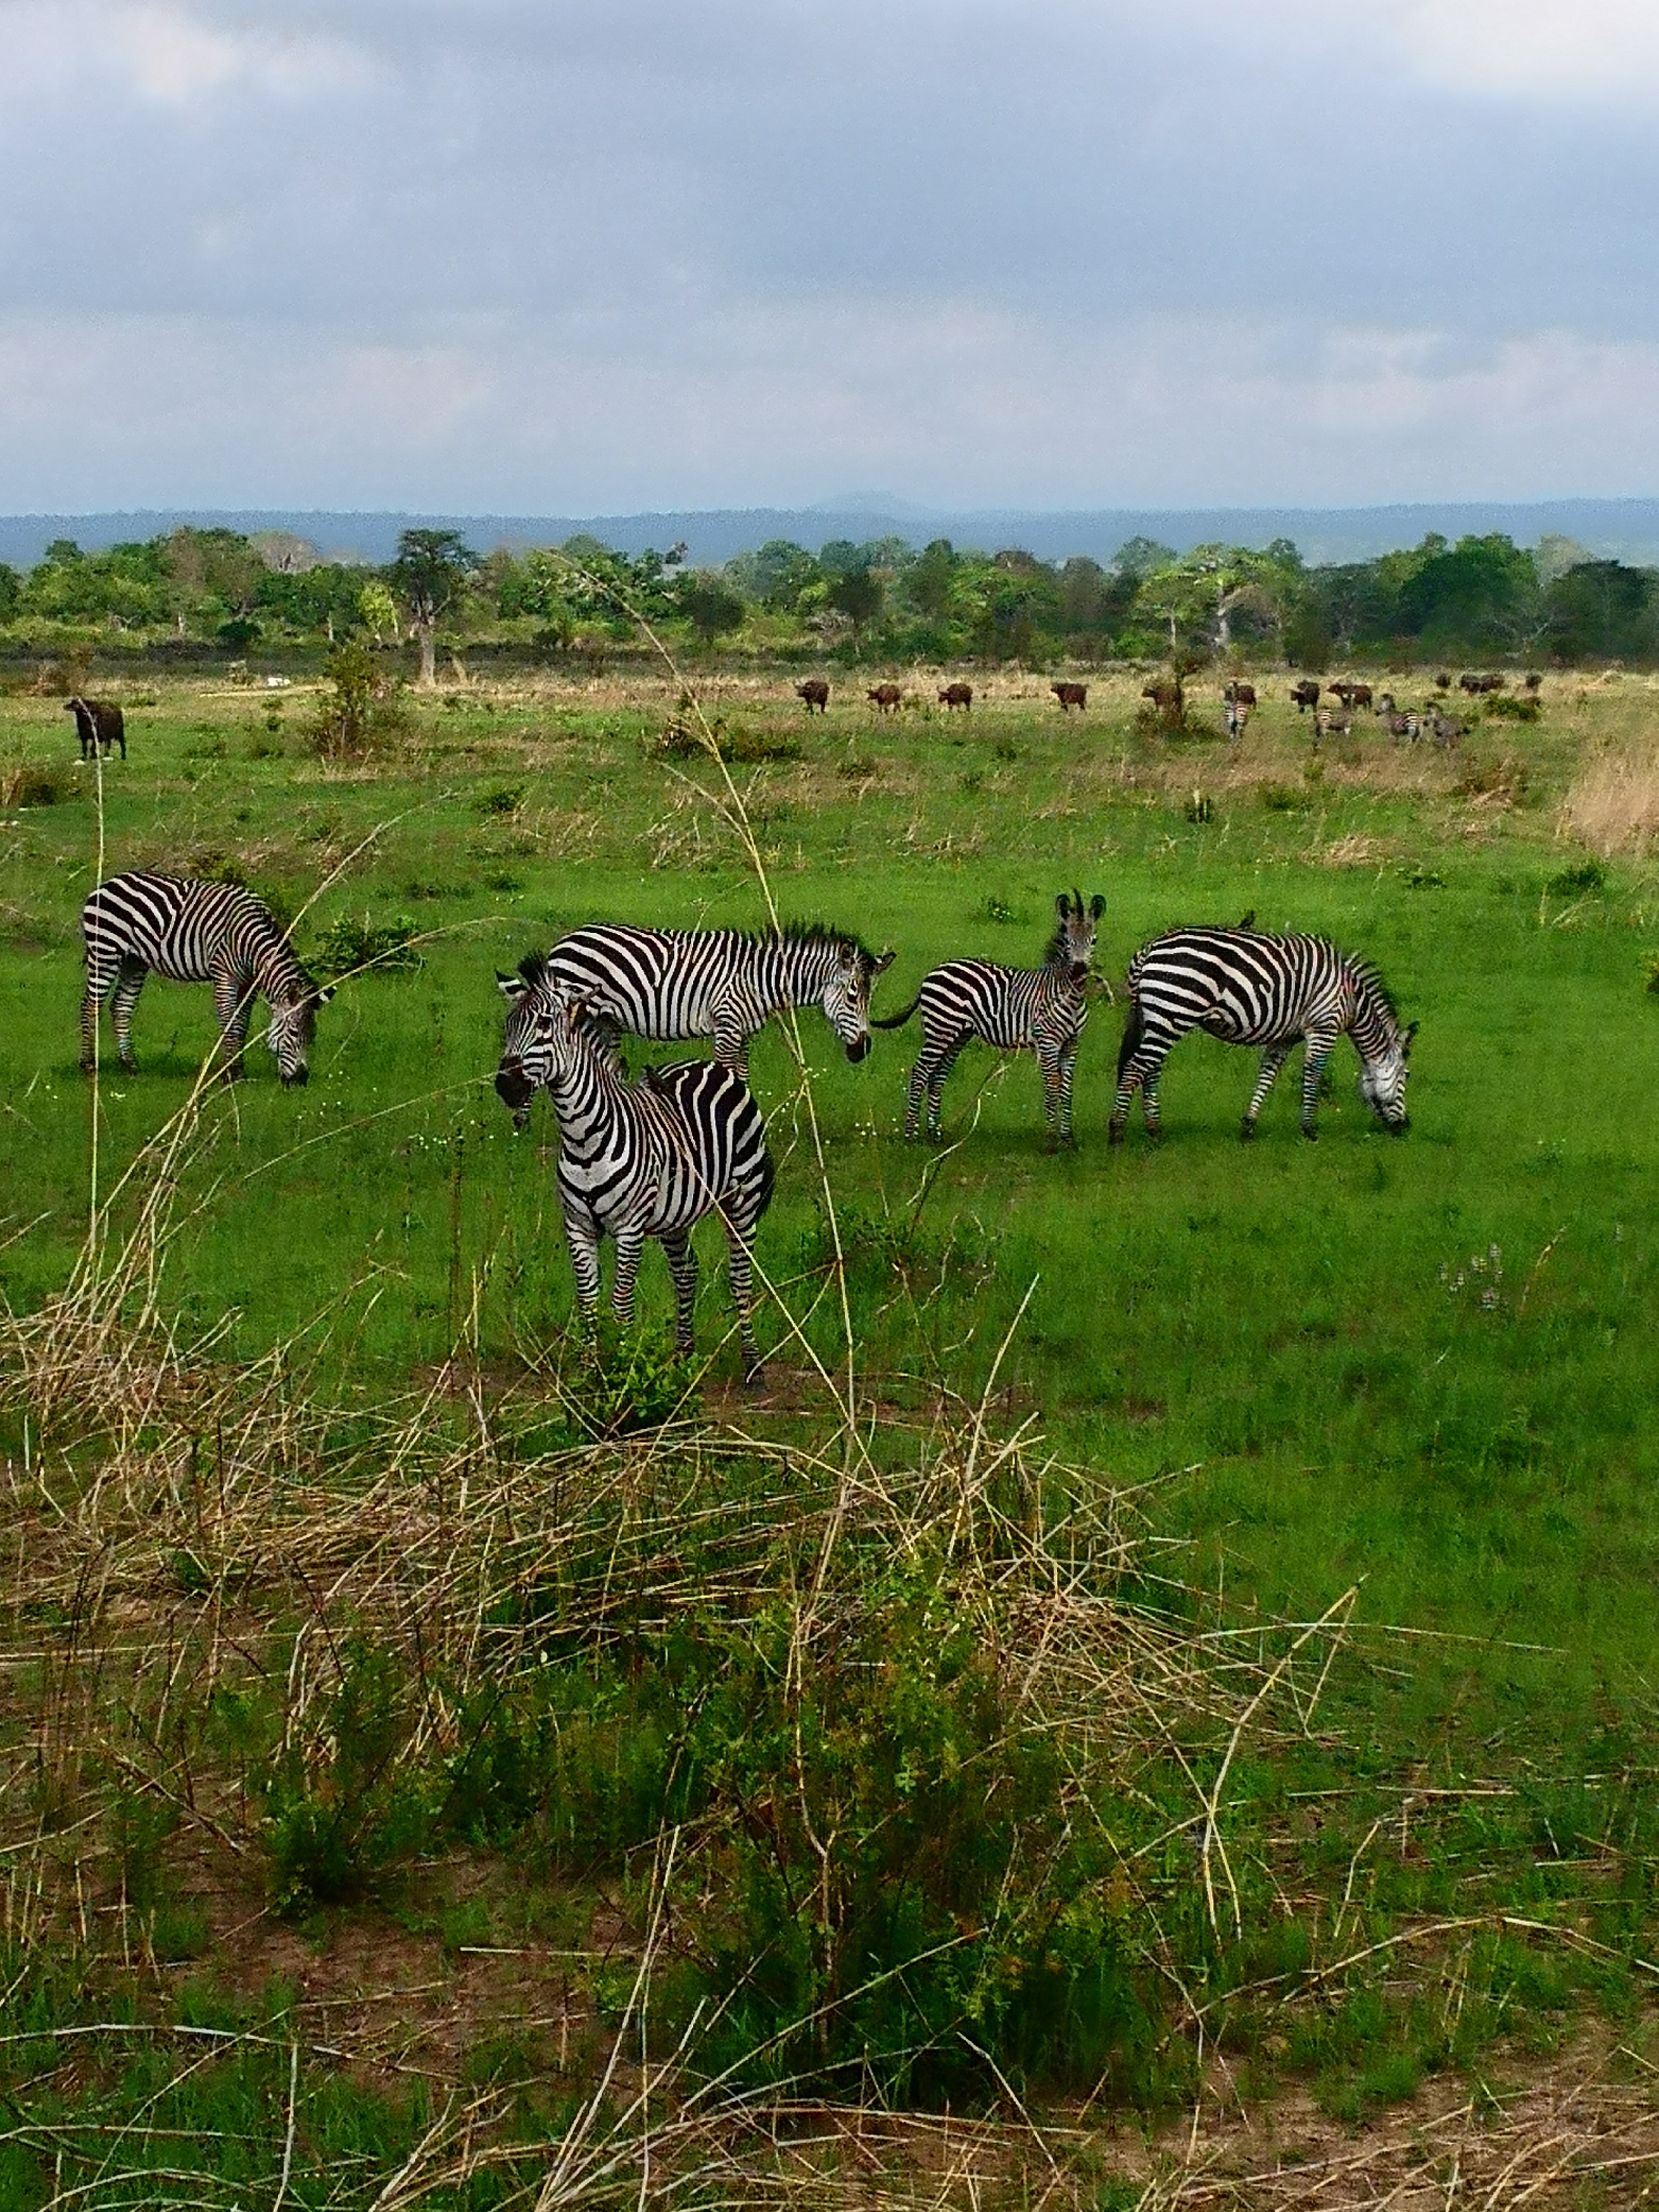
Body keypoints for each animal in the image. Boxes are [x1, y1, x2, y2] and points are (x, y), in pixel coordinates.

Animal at [79, 869, 332, 1085]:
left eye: (313, 1037)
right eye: (295, 1033)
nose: (301, 1081)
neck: (252, 943)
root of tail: (108, 883)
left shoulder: (249, 983)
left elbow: (242, 1024)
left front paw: (239, 1071)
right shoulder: (225, 977)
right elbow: (230, 1023)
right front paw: (230, 1074)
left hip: (134, 960)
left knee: (121, 1007)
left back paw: (130, 1065)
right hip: (105, 950)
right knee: (90, 1005)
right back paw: (89, 1066)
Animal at [495, 961, 775, 1383]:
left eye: (544, 1024)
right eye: (508, 1026)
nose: (506, 1085)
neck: (583, 1140)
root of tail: (712, 1068)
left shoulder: (629, 1227)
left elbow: (621, 1302)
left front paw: (621, 1367)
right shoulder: (578, 1225)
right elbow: (588, 1301)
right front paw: (589, 1372)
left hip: (742, 1201)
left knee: (741, 1278)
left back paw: (752, 1364)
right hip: (677, 1214)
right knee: (686, 1272)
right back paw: (683, 1355)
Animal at [502, 922, 895, 1083]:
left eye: (869, 997)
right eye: (853, 995)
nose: (863, 1050)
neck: (759, 979)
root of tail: (564, 941)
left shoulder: (745, 1034)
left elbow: (743, 1077)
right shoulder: (727, 1027)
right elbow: (728, 1074)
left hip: (606, 1021)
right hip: (582, 1015)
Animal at [873, 891, 1106, 1147]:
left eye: (1093, 940)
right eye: (1068, 941)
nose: (1079, 970)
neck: (1069, 995)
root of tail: (933, 972)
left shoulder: (1072, 1043)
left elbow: (1067, 1090)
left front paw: (1067, 1139)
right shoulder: (1047, 1042)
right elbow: (1052, 1087)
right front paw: (1050, 1141)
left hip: (958, 1033)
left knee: (938, 1075)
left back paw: (935, 1134)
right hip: (941, 1028)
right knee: (920, 1072)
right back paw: (911, 1136)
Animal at [1109, 928, 1414, 1145]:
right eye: (1406, 1077)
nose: (1406, 1127)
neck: (1351, 999)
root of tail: (1149, 949)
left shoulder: (1286, 1036)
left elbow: (1267, 1075)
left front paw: (1248, 1126)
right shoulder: (1323, 1027)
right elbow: (1313, 1075)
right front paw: (1309, 1129)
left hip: (1156, 1018)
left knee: (1150, 1070)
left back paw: (1154, 1130)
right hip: (1173, 1014)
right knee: (1136, 1068)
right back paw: (1117, 1132)